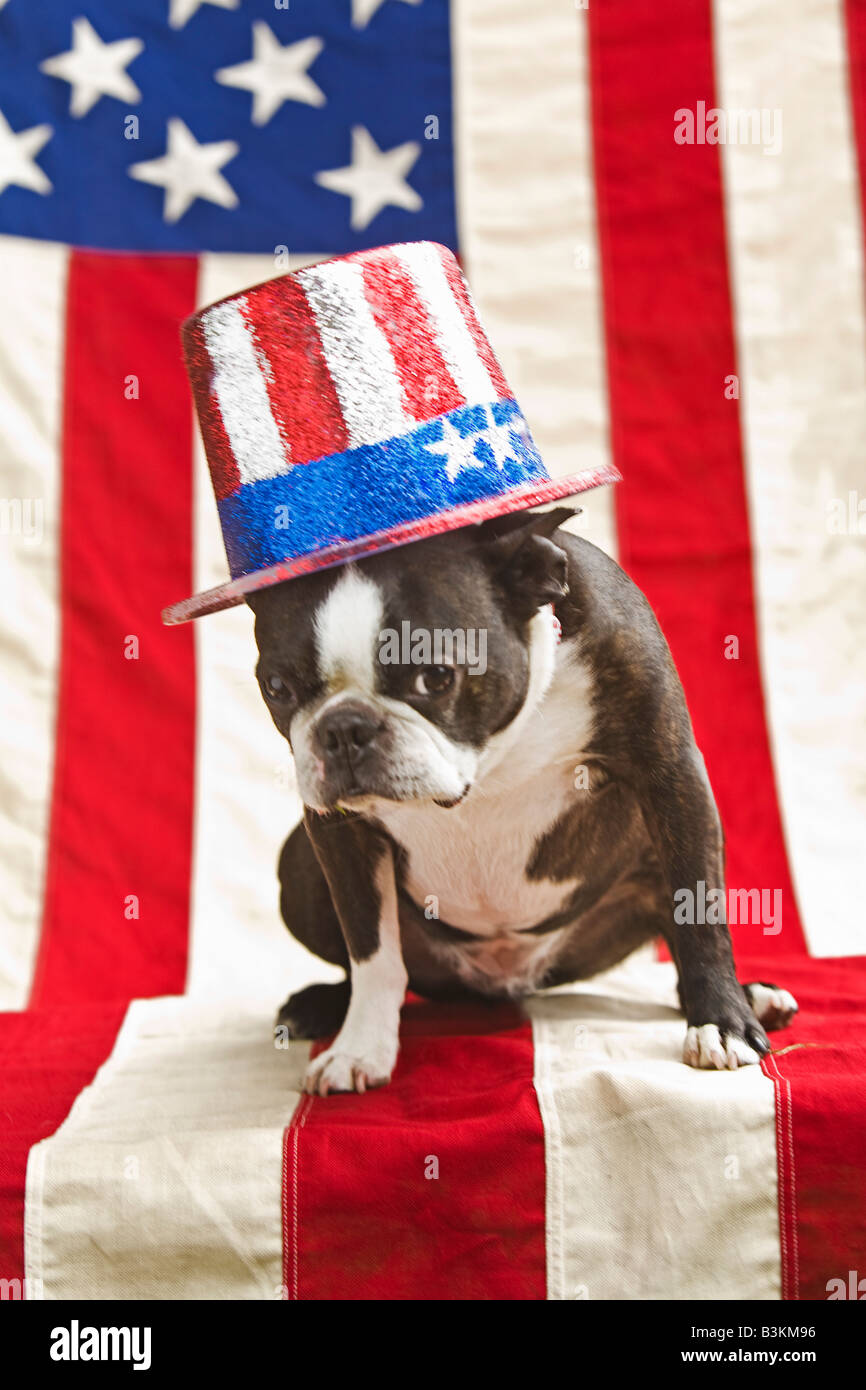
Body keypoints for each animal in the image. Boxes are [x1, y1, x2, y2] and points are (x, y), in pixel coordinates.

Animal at [247, 511, 795, 1095]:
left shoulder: (670, 770)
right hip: (299, 865)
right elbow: (371, 950)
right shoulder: (337, 831)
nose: (343, 728)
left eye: (435, 676)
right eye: (276, 687)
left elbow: (699, 914)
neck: (495, 753)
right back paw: (318, 1004)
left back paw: (750, 996)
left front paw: (721, 1023)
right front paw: (359, 1049)